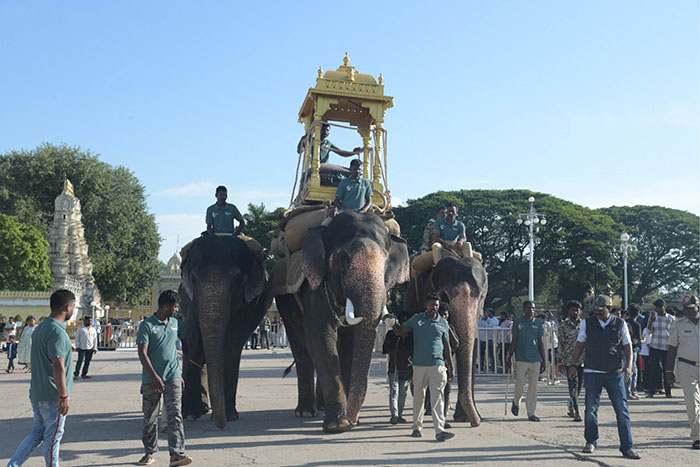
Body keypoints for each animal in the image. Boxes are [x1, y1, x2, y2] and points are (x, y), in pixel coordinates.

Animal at [179, 236, 266, 430]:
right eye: (193, 278)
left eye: (237, 278)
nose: (220, 425)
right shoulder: (190, 300)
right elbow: (194, 340)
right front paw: (190, 415)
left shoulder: (248, 304)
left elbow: (232, 343)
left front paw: (230, 416)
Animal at [270, 210, 410, 434]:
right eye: (343, 260)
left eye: (386, 263)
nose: (354, 420)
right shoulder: (314, 286)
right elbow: (321, 337)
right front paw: (338, 426)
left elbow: (349, 345)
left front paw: (349, 421)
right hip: (283, 300)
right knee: (302, 350)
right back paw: (306, 412)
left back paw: (320, 407)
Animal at [402, 256, 490, 428]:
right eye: (444, 295)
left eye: (482, 296)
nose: (475, 422)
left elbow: (472, 348)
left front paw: (468, 417)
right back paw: (428, 409)